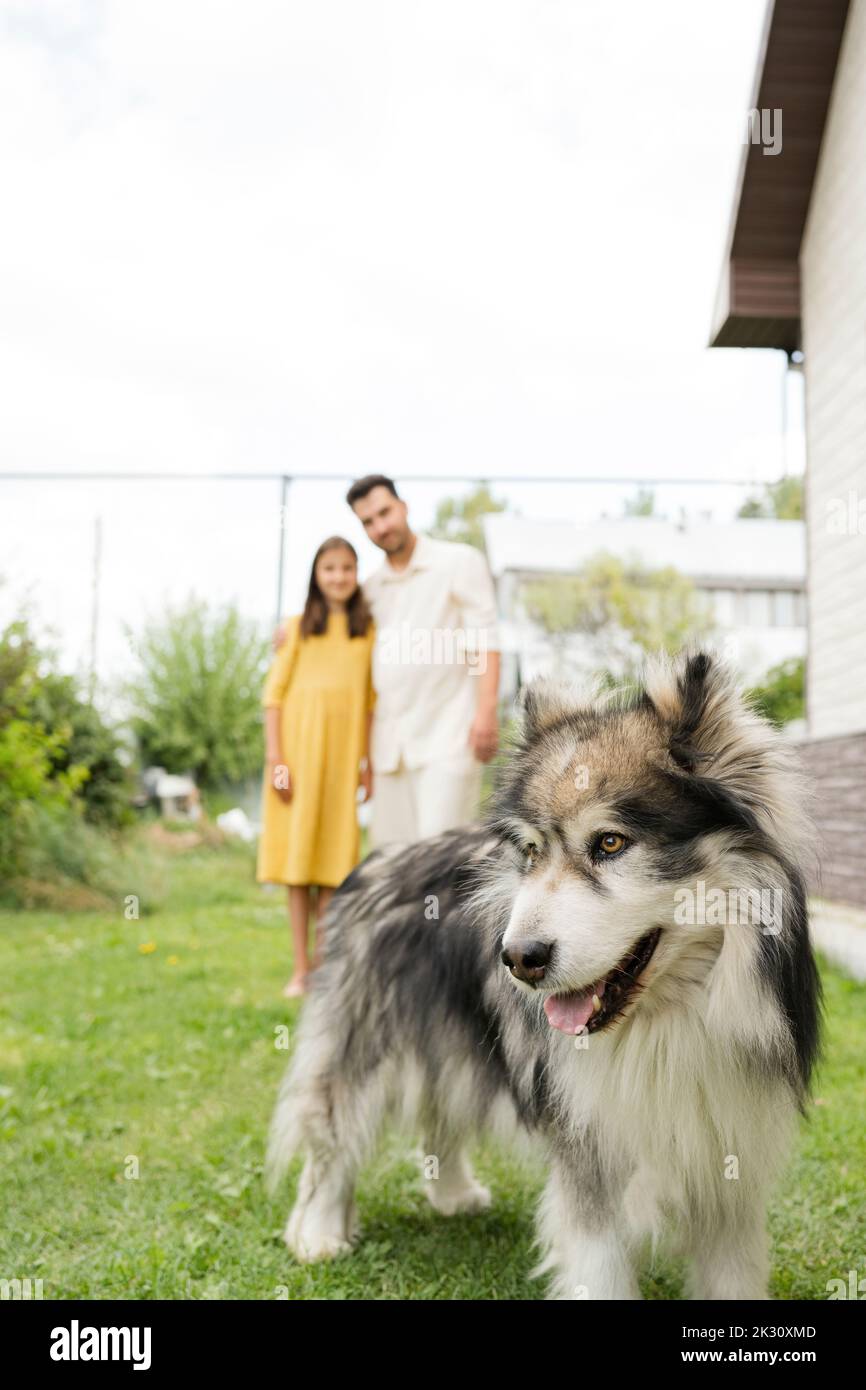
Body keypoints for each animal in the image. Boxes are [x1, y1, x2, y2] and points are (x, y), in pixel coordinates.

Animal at [268, 653, 822, 1301]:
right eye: (531, 854)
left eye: (610, 842)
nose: (517, 959)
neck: (667, 1020)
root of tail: (380, 860)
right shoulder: (589, 1155)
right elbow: (600, 1266)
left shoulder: (728, 1159)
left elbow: (732, 1271)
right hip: (367, 1043)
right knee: (332, 1133)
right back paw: (318, 1231)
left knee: (440, 1112)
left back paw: (452, 1194)